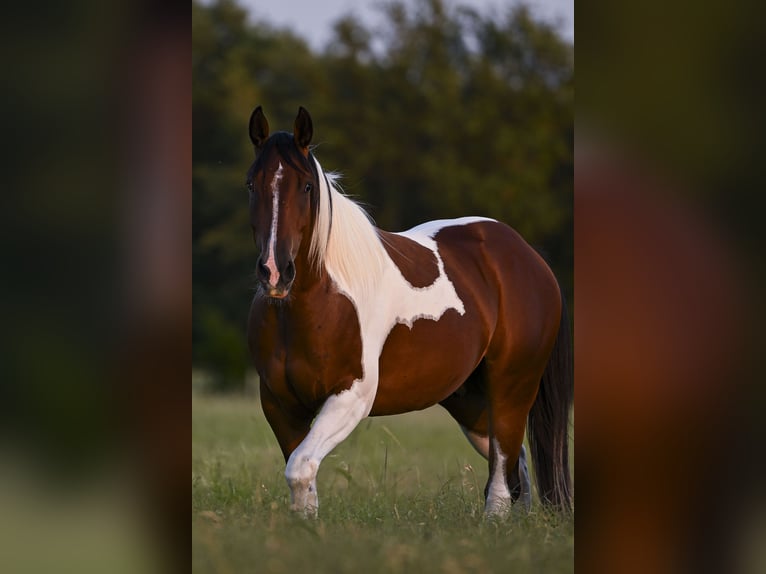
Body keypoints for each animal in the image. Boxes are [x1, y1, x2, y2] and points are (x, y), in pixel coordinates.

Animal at [245, 105, 572, 518]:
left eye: (306, 186)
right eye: (251, 185)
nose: (274, 271)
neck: (318, 301)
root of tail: (529, 258)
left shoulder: (350, 397)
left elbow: (299, 469)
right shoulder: (280, 404)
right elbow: (301, 477)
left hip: (512, 388)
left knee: (502, 475)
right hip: (470, 401)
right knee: (517, 464)